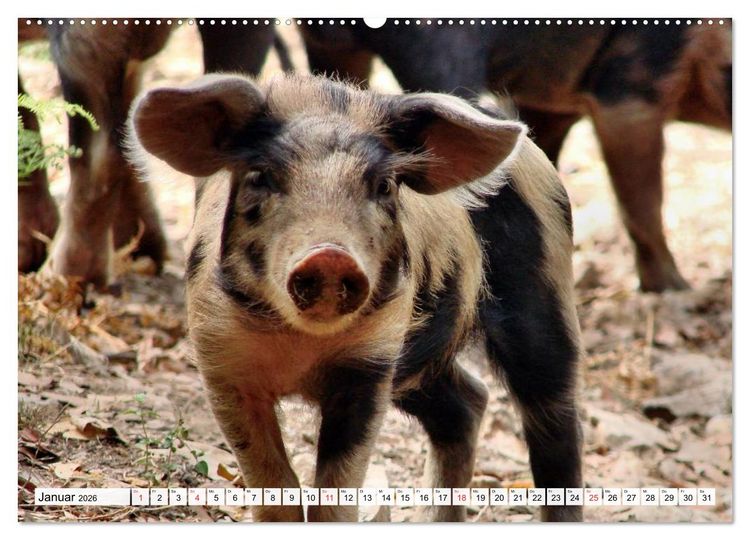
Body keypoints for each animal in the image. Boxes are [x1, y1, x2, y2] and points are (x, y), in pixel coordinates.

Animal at [128, 73, 583, 522]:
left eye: (383, 185)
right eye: (260, 176)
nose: (330, 255)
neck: (300, 348)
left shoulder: (371, 362)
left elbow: (336, 492)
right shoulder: (221, 360)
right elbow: (273, 483)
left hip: (545, 294)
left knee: (555, 424)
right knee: (467, 403)